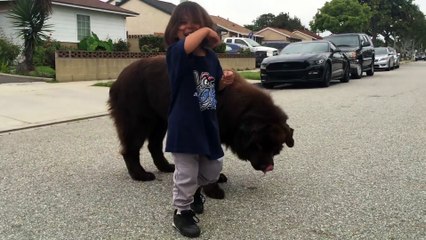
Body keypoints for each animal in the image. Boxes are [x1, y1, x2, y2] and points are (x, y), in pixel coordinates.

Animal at [107, 55, 292, 199]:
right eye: (258, 145)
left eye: (276, 149)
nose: (269, 167)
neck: (238, 110)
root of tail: (118, 79)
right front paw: (212, 189)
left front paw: (216, 178)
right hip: (138, 121)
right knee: (130, 149)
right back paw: (140, 175)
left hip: (161, 122)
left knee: (154, 146)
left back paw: (166, 167)